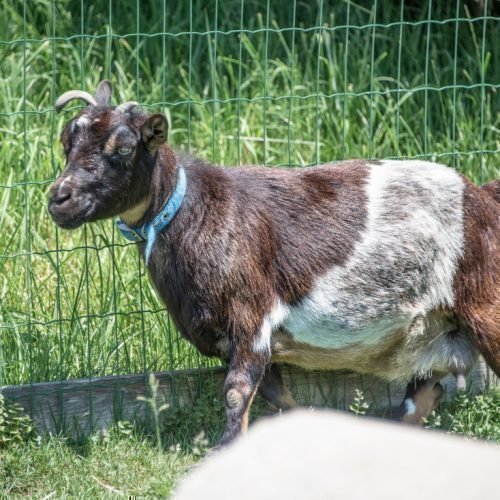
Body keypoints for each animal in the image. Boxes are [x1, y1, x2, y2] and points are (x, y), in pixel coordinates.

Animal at [47, 82, 500, 446]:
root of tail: (482, 198)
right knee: (422, 396)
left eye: (123, 150)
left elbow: (235, 392)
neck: (196, 211)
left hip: (485, 306)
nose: (58, 198)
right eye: (66, 143)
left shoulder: (252, 316)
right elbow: (276, 395)